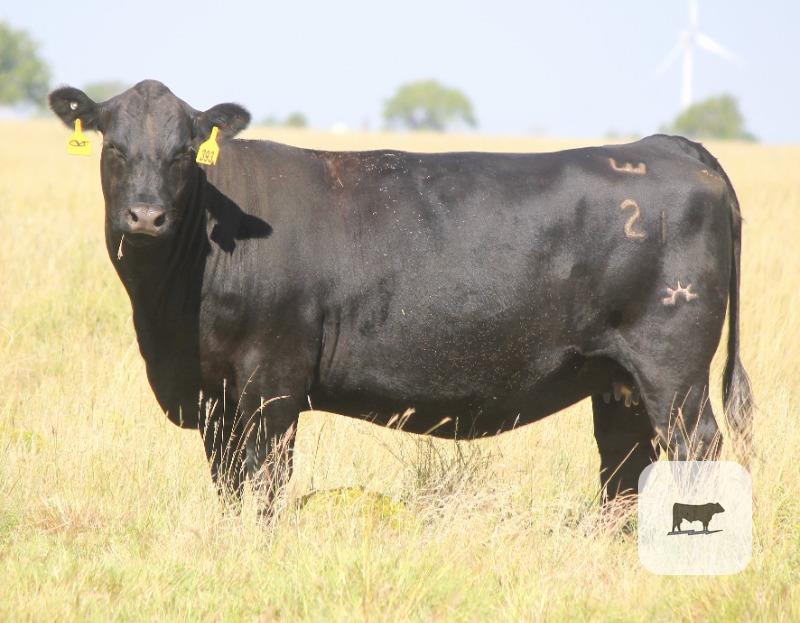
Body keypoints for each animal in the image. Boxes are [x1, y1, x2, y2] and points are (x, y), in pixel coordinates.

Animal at [49, 80, 752, 507]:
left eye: (183, 152)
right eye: (114, 147)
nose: (145, 216)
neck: (170, 319)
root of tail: (667, 146)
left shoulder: (272, 384)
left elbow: (266, 486)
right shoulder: (214, 397)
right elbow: (228, 488)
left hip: (673, 371)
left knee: (692, 449)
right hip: (617, 377)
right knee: (624, 466)